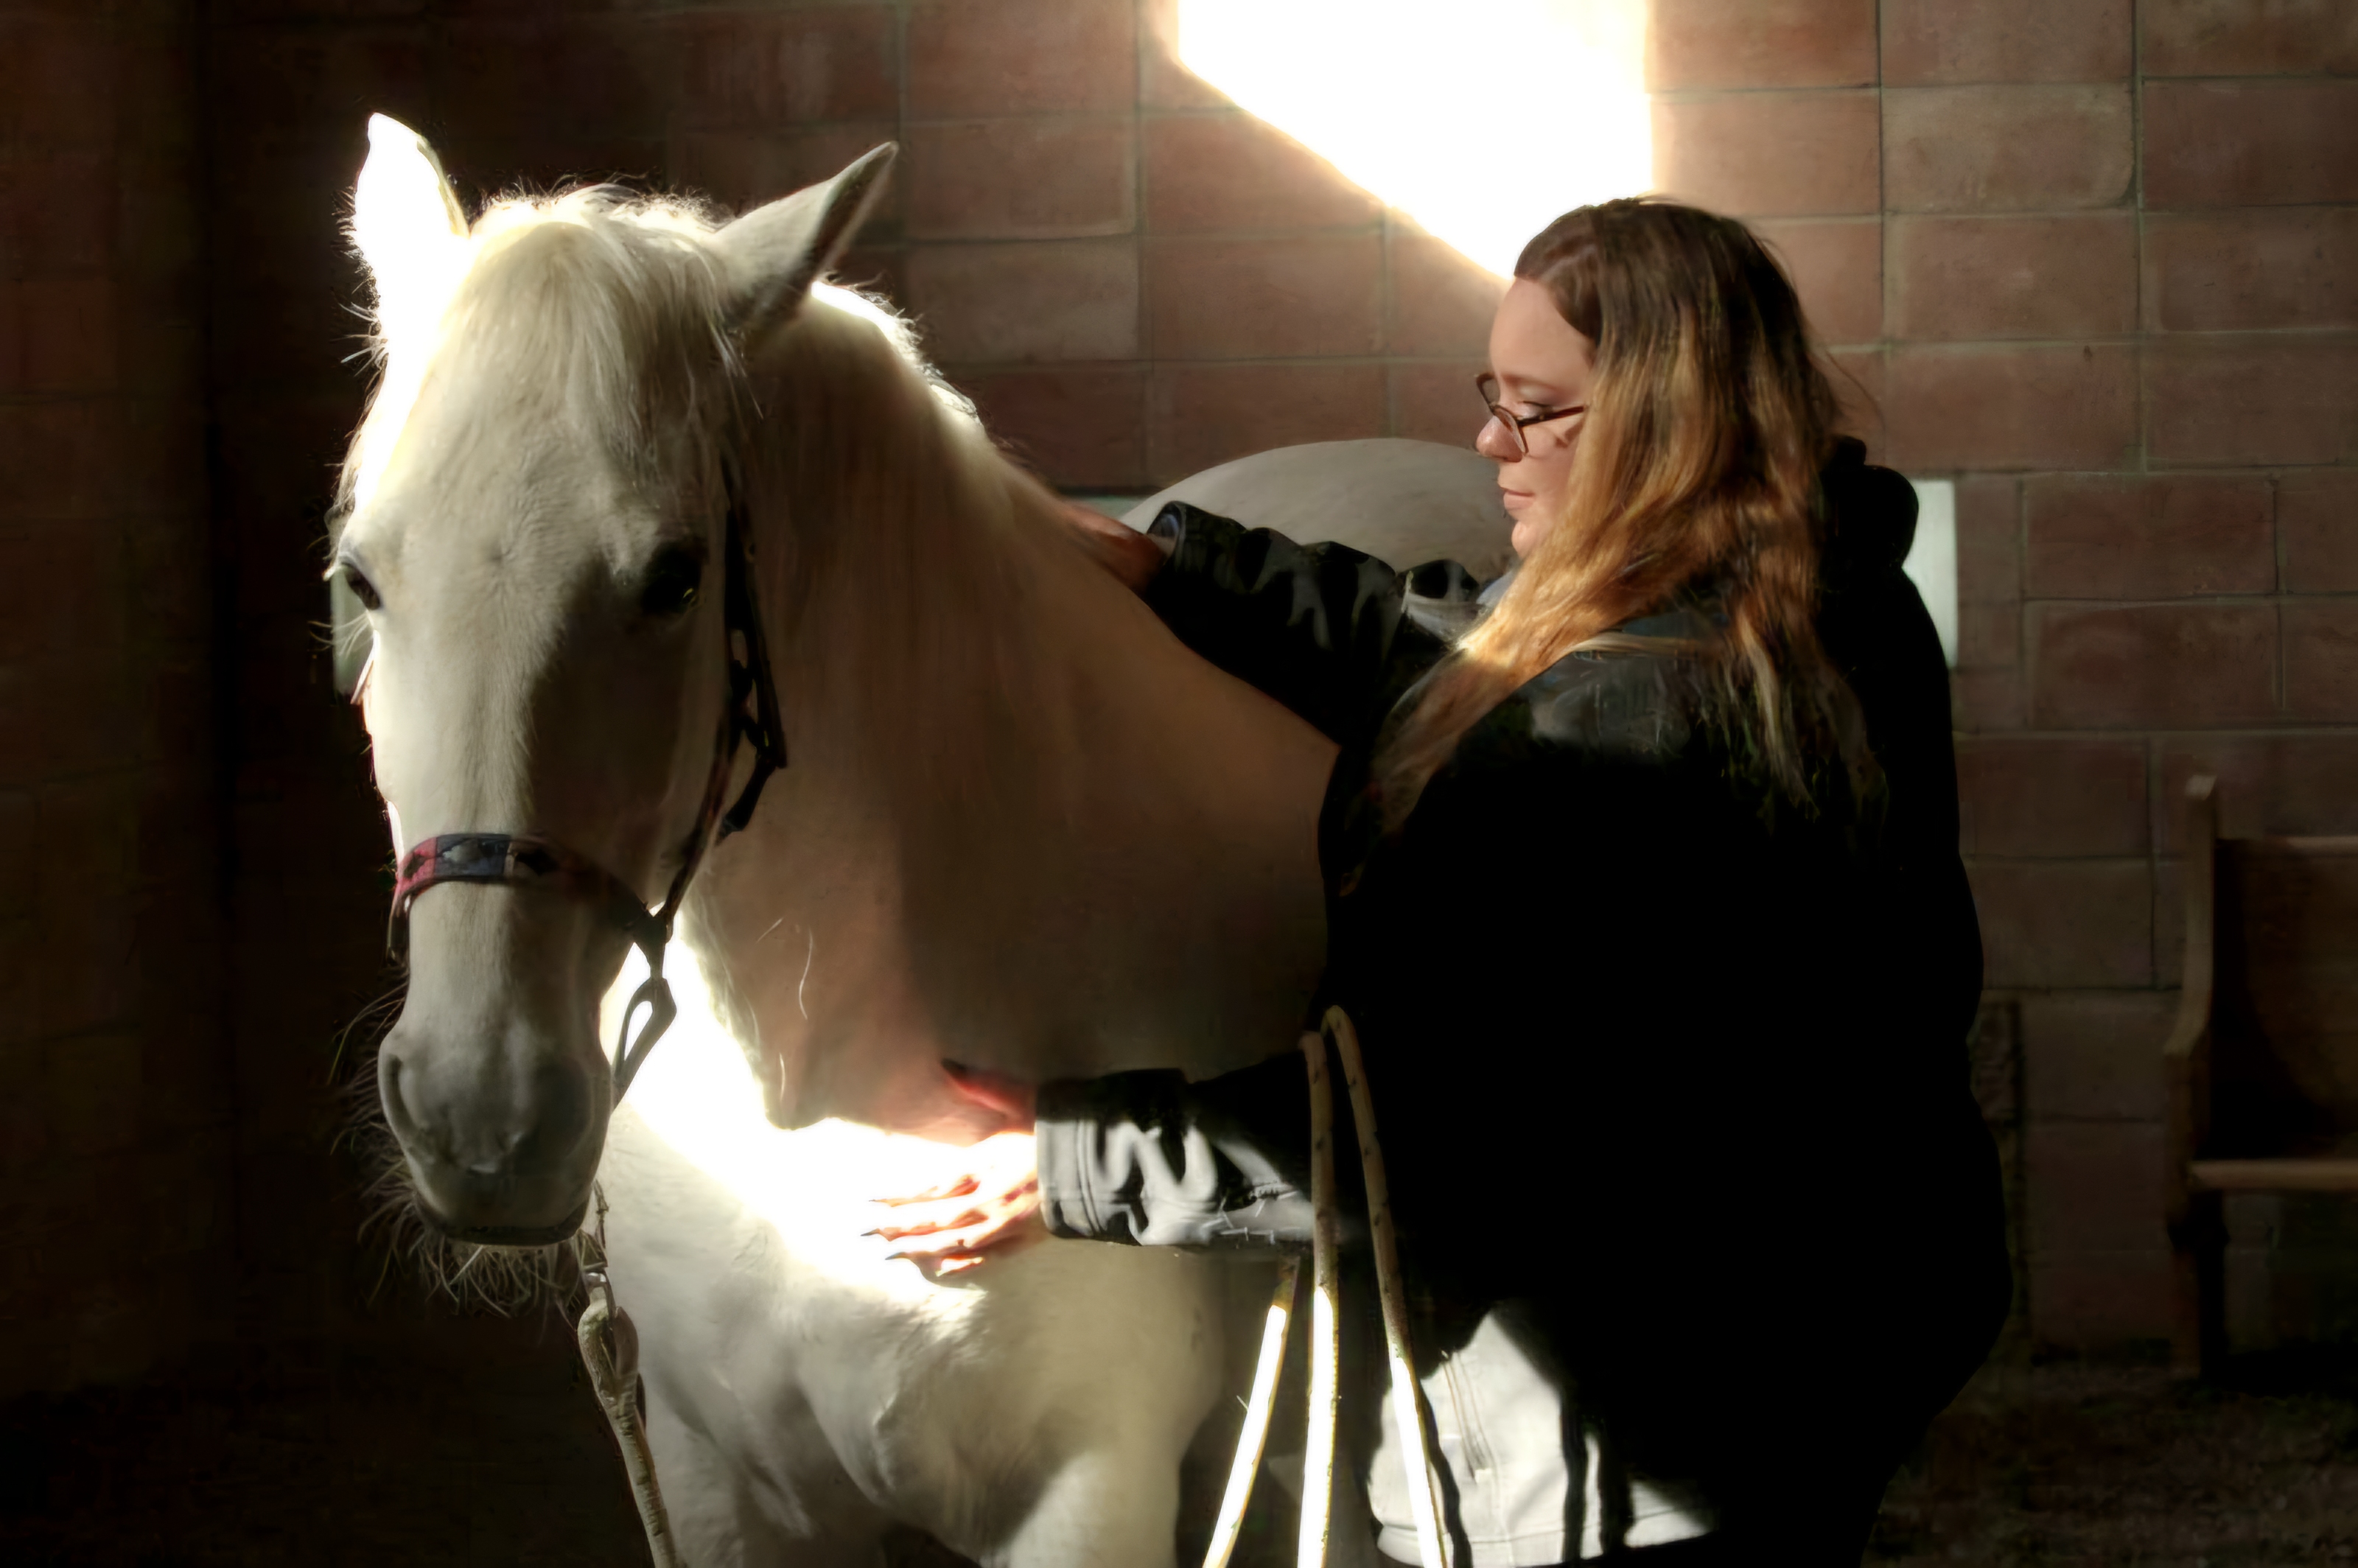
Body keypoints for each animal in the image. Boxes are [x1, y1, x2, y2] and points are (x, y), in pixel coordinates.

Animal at [335, 113, 1500, 1564]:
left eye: (674, 576)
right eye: (363, 576)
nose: (480, 1116)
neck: (816, 1068)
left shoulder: (1088, 1493)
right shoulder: (721, 1483)